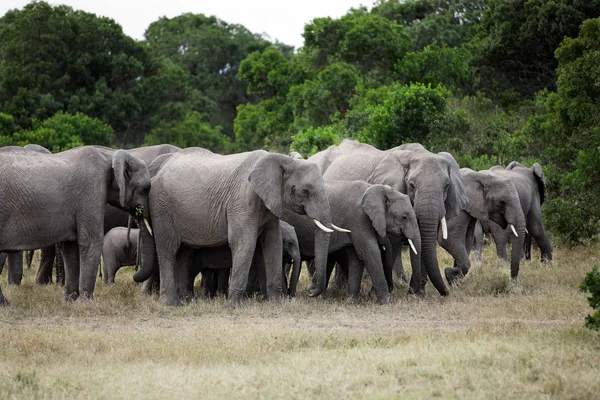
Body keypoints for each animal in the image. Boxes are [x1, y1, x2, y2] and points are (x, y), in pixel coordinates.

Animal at [0, 145, 152, 304]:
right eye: (146, 188)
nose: (134, 276)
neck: (109, 155)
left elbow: (71, 247)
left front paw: (70, 301)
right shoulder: (92, 192)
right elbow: (91, 241)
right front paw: (85, 303)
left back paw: (5, 304)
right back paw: (6, 304)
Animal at [132, 148, 336, 304]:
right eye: (306, 191)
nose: (310, 291)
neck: (281, 159)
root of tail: (157, 172)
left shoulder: (268, 204)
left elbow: (273, 243)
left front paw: (276, 302)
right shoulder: (242, 201)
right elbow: (244, 243)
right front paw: (235, 304)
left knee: (184, 253)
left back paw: (186, 301)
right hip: (162, 208)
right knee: (168, 249)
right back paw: (171, 303)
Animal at [284, 181, 420, 304]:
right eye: (404, 217)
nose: (310, 293)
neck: (378, 189)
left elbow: (356, 256)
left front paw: (352, 302)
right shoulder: (359, 218)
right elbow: (370, 252)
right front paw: (387, 303)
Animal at [314, 139, 468, 296]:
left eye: (447, 186)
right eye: (411, 185)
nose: (447, 291)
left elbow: (425, 239)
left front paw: (419, 294)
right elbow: (393, 243)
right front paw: (379, 293)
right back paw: (339, 288)